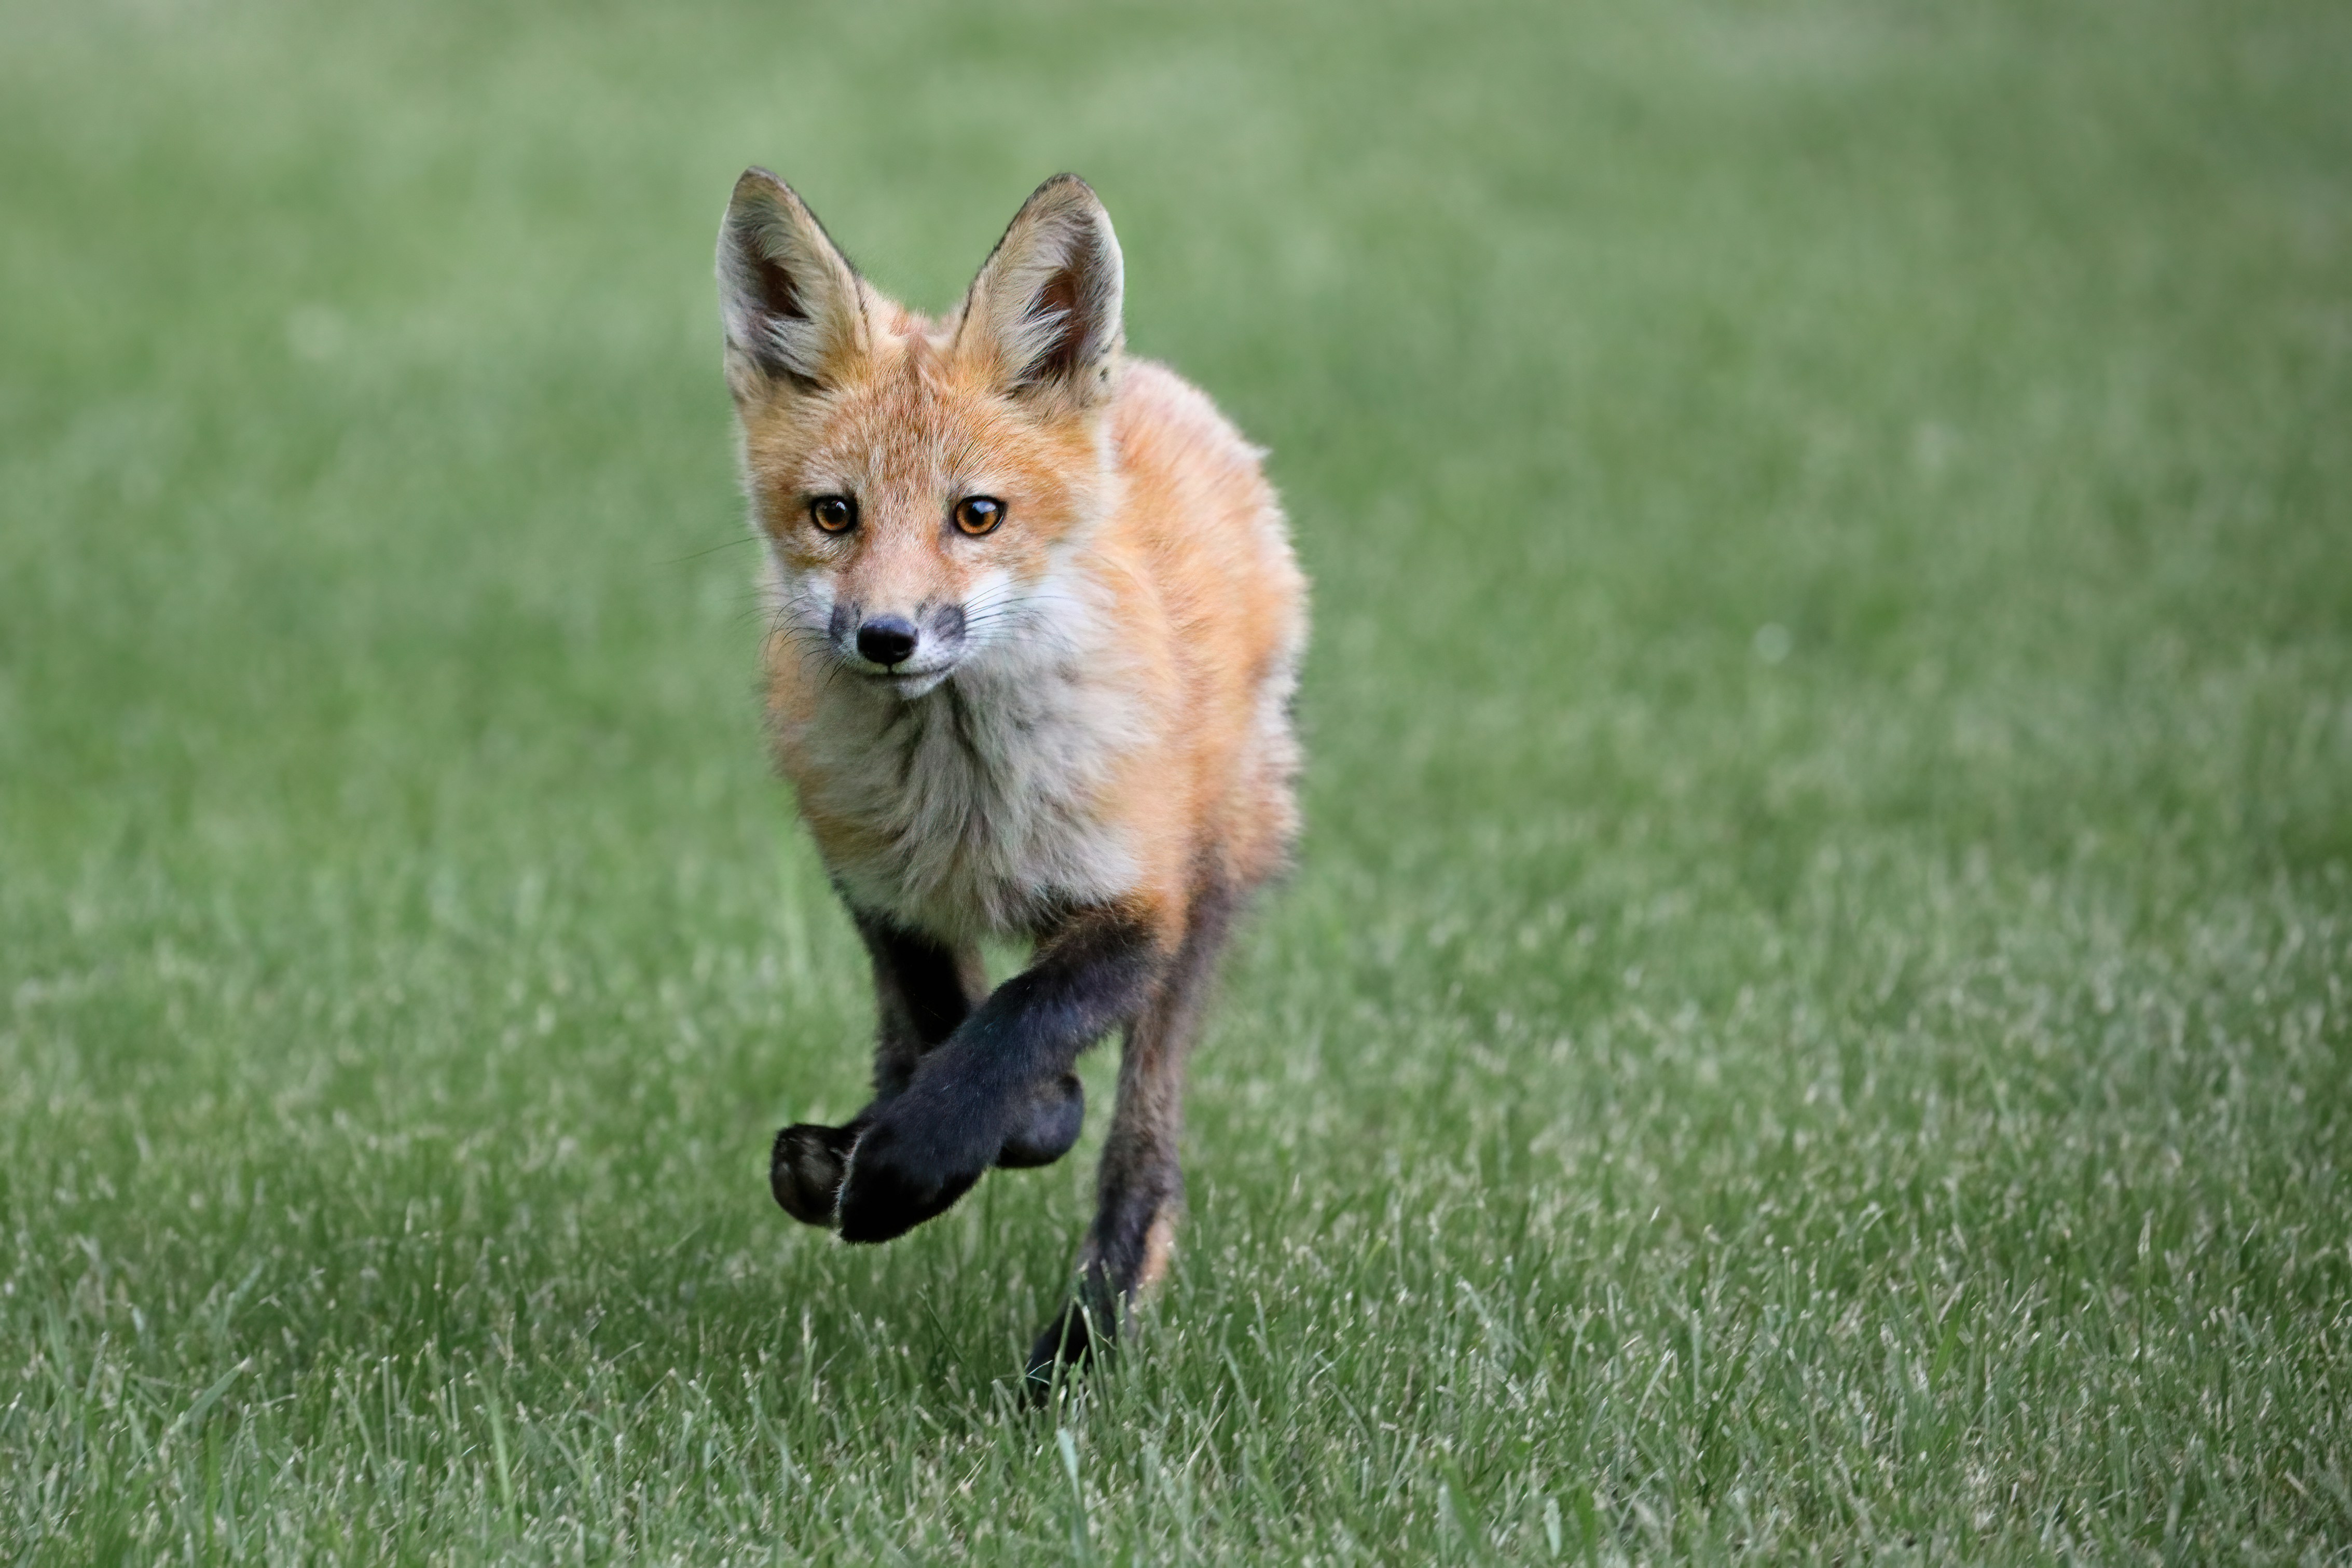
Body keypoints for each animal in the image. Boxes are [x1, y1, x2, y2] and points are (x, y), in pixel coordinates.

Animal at [714, 169, 1307, 1379]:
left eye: (975, 514)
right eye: (833, 512)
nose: (885, 636)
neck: (964, 806)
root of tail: (1166, 392)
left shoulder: (1141, 905)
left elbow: (1012, 1028)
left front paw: (911, 1167)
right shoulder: (878, 888)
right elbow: (952, 1021)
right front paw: (915, 1144)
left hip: (1211, 887)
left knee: (1144, 1164)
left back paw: (1076, 1354)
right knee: (904, 1042)